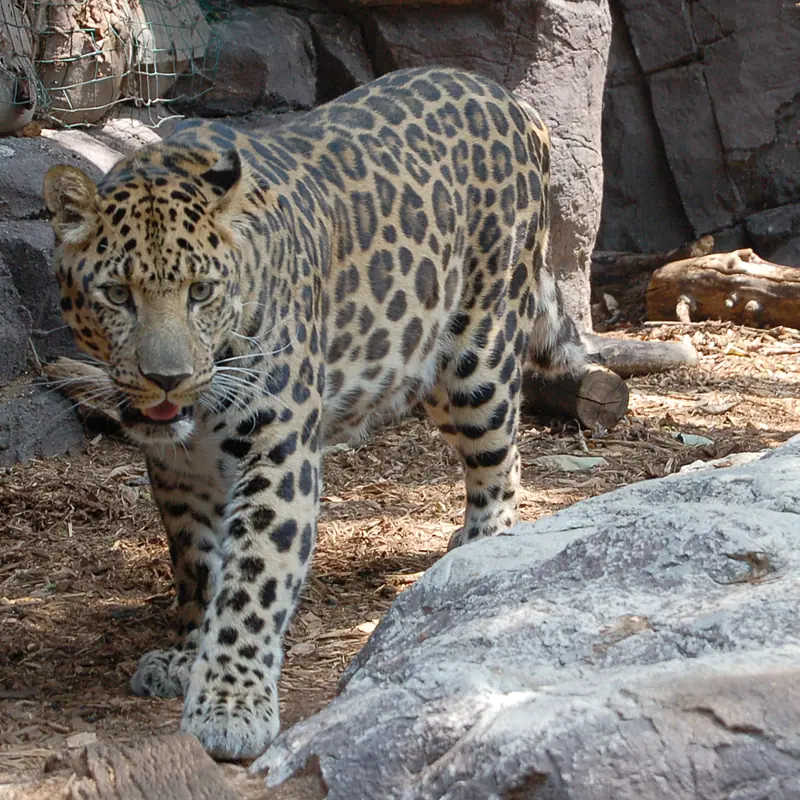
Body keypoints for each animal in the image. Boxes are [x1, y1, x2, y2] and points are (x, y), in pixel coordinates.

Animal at [43, 66, 585, 762]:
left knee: (503, 453)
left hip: (476, 355)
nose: (167, 380)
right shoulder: (179, 470)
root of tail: (508, 98)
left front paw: (230, 706)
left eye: (201, 291)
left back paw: (481, 547)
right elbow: (197, 563)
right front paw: (187, 656)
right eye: (117, 294)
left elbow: (254, 576)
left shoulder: (278, 444)